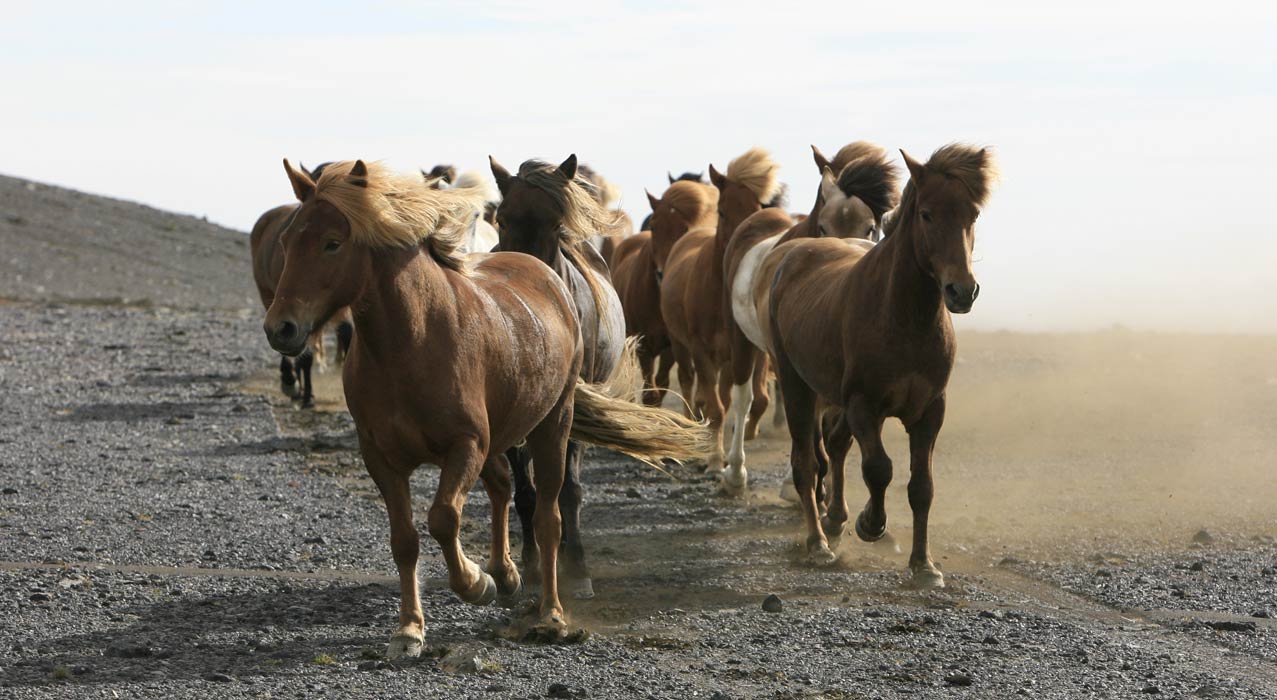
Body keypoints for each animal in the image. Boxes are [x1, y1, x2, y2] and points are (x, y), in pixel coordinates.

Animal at [487, 152, 628, 595]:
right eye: (501, 220)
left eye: (556, 223)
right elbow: (527, 493)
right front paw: (532, 566)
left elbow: (568, 489)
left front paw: (576, 566)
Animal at [615, 178, 725, 411]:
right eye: (654, 226)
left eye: (685, 229)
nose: (661, 274)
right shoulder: (644, 345)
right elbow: (649, 392)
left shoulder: (671, 346)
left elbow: (662, 385)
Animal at [766, 142, 996, 585]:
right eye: (927, 213)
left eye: (973, 215)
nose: (961, 291)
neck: (904, 319)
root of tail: (794, 256)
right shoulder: (863, 405)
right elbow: (879, 469)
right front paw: (870, 524)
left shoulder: (930, 411)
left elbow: (922, 486)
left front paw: (924, 565)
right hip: (796, 386)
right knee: (806, 463)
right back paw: (819, 542)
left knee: (834, 447)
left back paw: (834, 523)